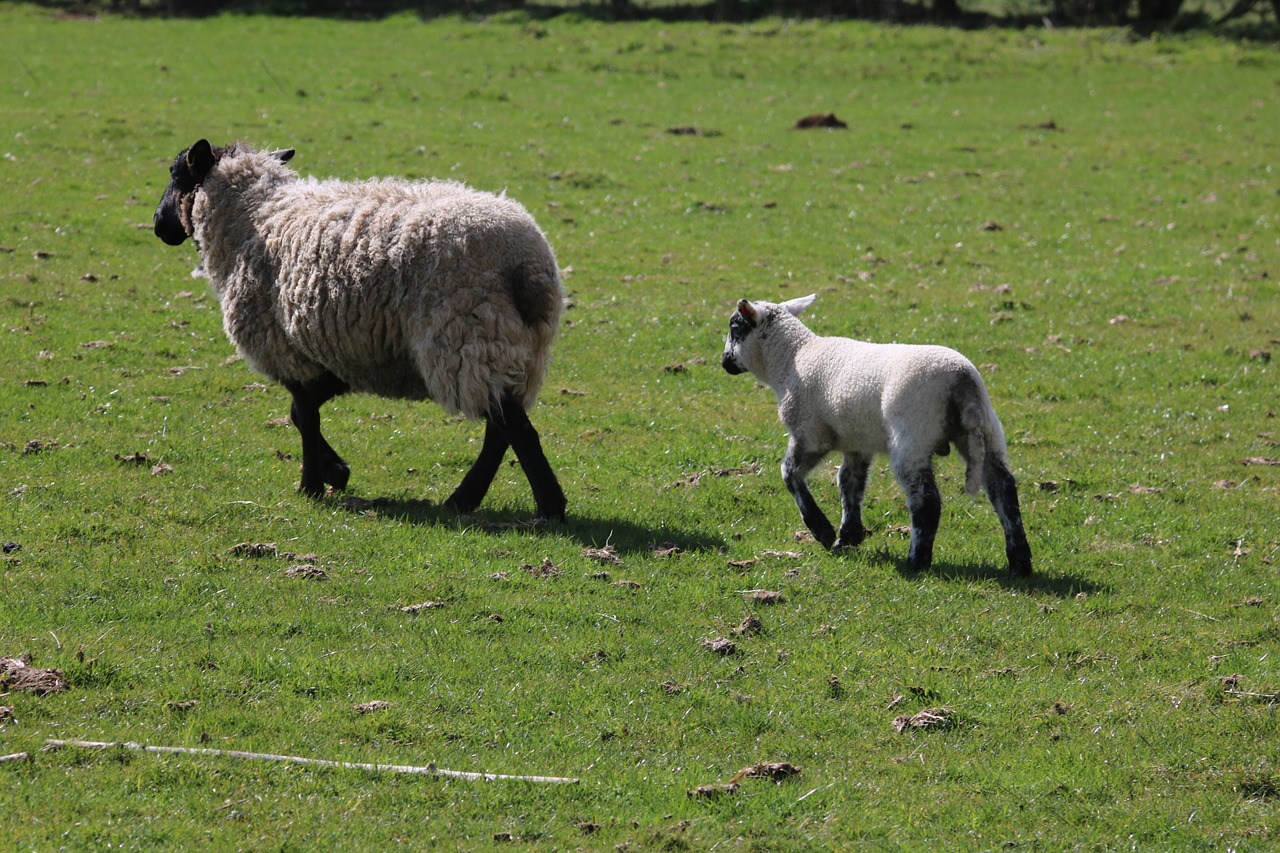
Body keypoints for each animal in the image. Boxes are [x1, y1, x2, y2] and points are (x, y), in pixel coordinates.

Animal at [152, 139, 568, 517]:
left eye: (175, 173)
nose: (158, 224)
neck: (254, 216)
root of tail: (529, 263)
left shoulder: (286, 349)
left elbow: (304, 414)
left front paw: (311, 485)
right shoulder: (338, 356)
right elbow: (299, 412)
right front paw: (335, 471)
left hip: (469, 338)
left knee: (514, 428)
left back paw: (544, 506)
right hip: (517, 348)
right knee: (501, 429)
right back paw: (467, 500)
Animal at [721, 294, 1029, 578]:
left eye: (735, 327)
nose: (724, 362)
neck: (792, 357)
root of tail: (961, 380)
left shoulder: (810, 434)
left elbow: (789, 474)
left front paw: (822, 530)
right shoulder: (857, 442)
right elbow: (849, 484)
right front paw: (848, 537)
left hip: (912, 438)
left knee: (926, 501)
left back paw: (917, 561)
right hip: (988, 432)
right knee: (1003, 489)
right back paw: (1019, 561)